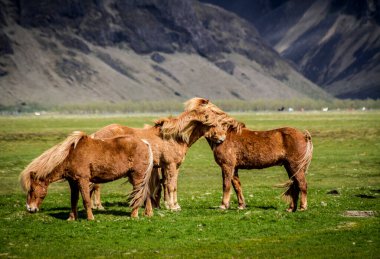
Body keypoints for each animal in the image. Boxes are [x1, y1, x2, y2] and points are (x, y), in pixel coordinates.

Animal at [19, 132, 154, 219]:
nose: (30, 208)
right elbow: (74, 200)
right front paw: (71, 218)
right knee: (145, 194)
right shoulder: (73, 182)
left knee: (138, 195)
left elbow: (86, 200)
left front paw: (90, 218)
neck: (70, 155)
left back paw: (134, 215)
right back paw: (148, 214)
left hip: (137, 177)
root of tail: (145, 143)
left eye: (32, 189)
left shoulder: (83, 180)